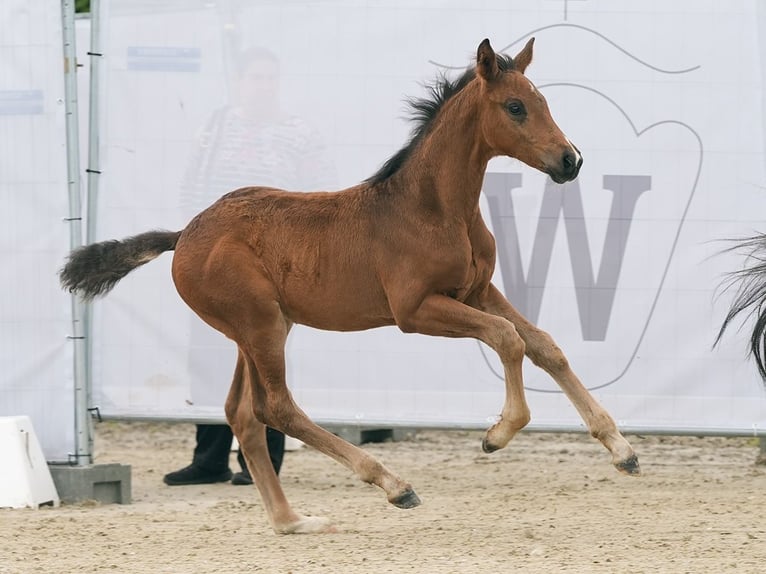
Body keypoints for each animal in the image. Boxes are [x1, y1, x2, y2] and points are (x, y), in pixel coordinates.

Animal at [60, 39, 640, 536]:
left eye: (543, 101)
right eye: (515, 107)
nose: (570, 160)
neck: (433, 208)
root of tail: (183, 235)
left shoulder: (477, 291)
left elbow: (544, 345)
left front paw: (622, 449)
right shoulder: (416, 310)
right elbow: (507, 338)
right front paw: (498, 434)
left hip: (262, 328)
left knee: (242, 415)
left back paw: (292, 522)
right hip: (259, 323)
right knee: (277, 408)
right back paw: (393, 484)